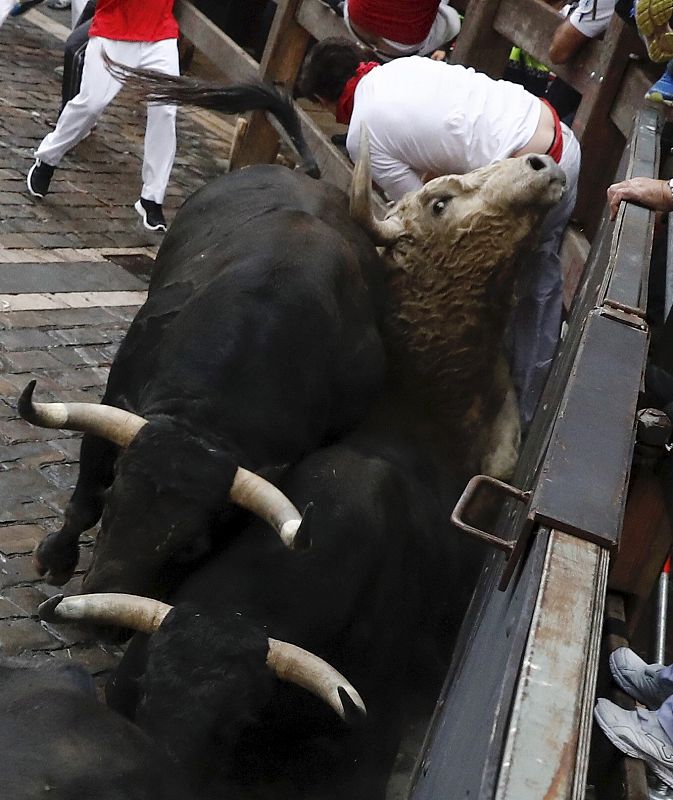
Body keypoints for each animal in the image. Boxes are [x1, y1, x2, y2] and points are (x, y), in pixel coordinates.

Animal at [25, 166, 384, 596]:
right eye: (113, 503)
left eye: (191, 547)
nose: (98, 598)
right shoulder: (113, 402)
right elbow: (84, 501)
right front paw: (54, 559)